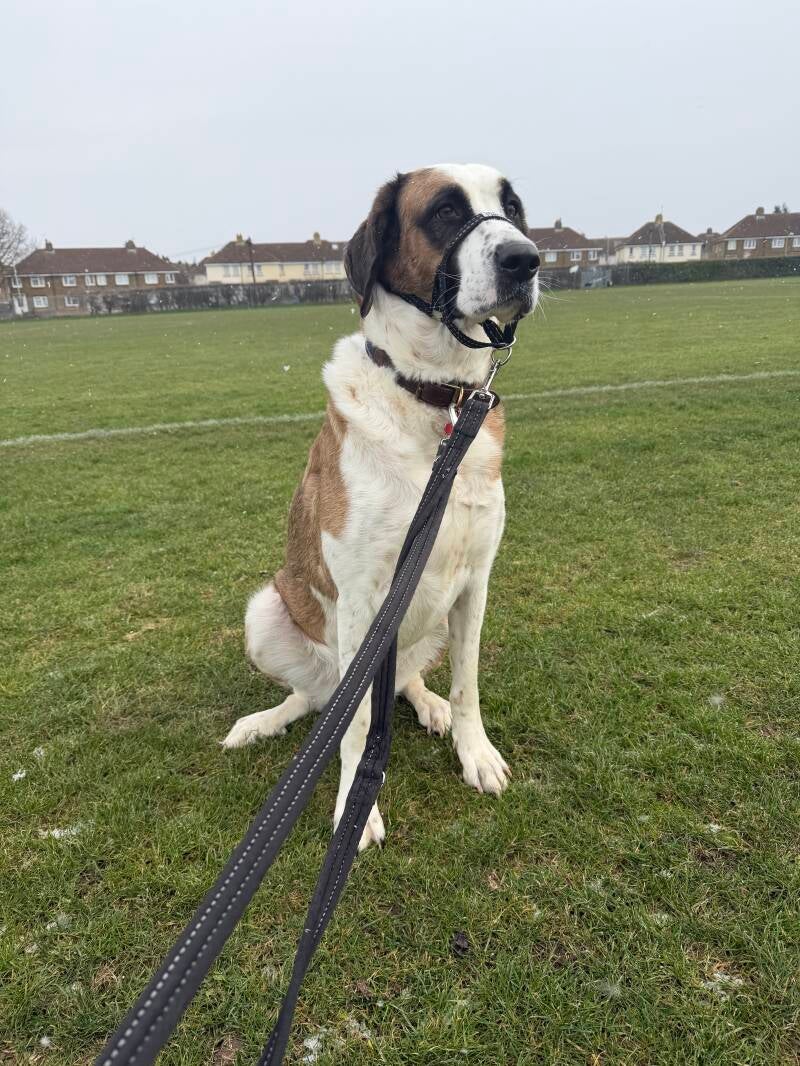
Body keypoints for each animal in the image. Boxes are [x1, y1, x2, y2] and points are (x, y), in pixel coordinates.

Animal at [223, 164, 539, 851]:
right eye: (445, 212)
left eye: (513, 208)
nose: (526, 259)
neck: (436, 396)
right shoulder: (363, 596)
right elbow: (356, 724)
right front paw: (354, 807)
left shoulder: (475, 581)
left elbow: (469, 683)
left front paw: (475, 752)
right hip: (269, 613)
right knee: (316, 704)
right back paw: (266, 721)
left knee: (402, 681)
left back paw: (428, 704)